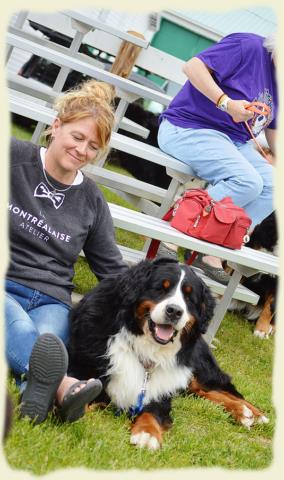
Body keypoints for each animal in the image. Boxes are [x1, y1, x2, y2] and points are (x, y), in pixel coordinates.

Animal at [67, 258, 268, 450]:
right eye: (160, 288)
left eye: (189, 297)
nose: (175, 311)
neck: (146, 349)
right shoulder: (84, 369)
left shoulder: (159, 390)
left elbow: (152, 414)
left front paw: (148, 434)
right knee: (203, 391)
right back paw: (243, 411)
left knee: (221, 387)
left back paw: (252, 412)